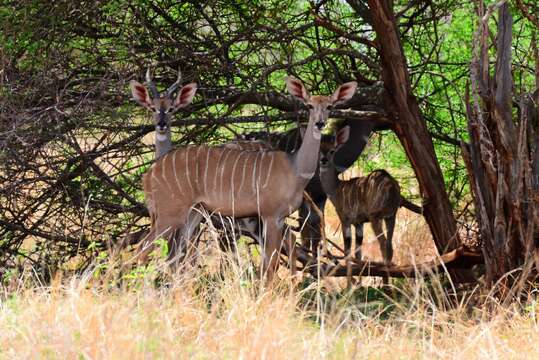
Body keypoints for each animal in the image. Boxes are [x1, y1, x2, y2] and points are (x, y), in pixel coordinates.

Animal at [142, 76, 358, 282]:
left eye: (329, 106)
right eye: (309, 105)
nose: (320, 123)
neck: (295, 168)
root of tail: (150, 173)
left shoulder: (278, 218)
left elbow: (271, 260)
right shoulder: (270, 215)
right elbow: (270, 263)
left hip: (192, 213)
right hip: (171, 215)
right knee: (145, 249)